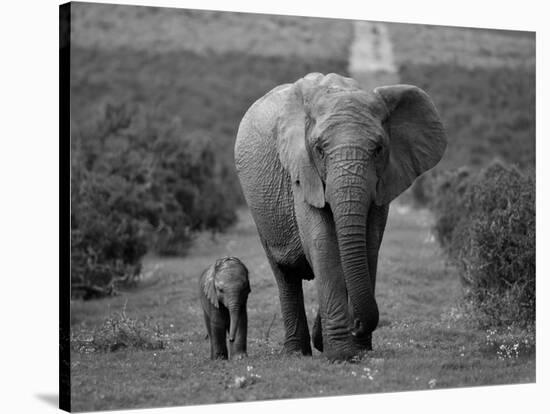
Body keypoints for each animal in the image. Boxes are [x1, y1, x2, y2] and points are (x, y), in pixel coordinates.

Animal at [235, 71, 446, 360]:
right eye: (319, 149)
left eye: (379, 149)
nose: (356, 324)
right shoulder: (302, 173)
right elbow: (323, 244)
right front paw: (342, 355)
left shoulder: (383, 181)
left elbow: (369, 244)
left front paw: (358, 349)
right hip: (260, 210)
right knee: (284, 274)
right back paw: (296, 353)